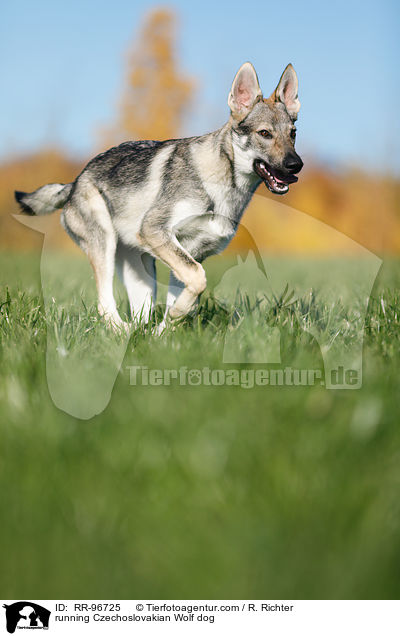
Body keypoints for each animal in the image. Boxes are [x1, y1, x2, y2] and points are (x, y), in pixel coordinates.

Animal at [15, 63, 304, 332]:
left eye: (292, 134)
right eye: (264, 133)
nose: (296, 166)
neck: (223, 184)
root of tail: (74, 182)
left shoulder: (192, 251)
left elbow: (188, 295)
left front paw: (165, 331)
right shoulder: (157, 232)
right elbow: (198, 280)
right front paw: (175, 316)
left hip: (142, 275)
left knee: (140, 314)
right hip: (105, 246)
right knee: (105, 305)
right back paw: (121, 332)